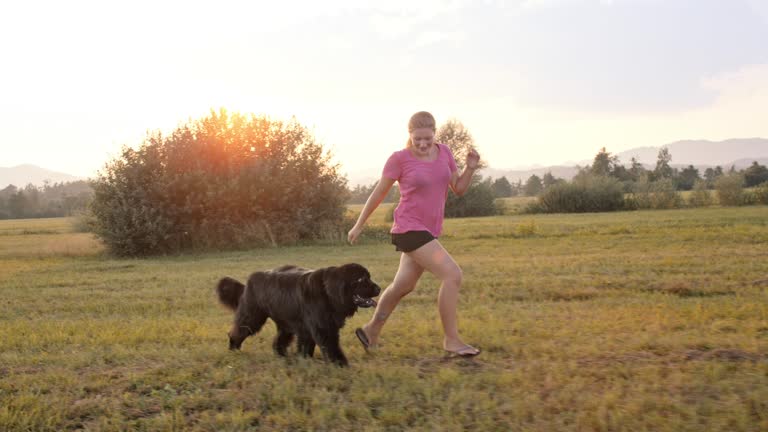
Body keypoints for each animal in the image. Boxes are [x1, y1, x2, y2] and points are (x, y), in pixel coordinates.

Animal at [216, 262, 380, 366]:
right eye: (361, 279)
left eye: (369, 277)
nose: (379, 288)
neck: (329, 293)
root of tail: (248, 282)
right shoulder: (324, 329)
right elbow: (331, 348)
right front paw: (341, 364)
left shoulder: (307, 328)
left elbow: (306, 347)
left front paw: (304, 360)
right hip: (252, 317)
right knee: (238, 331)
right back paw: (233, 349)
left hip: (286, 323)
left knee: (279, 340)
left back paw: (282, 355)